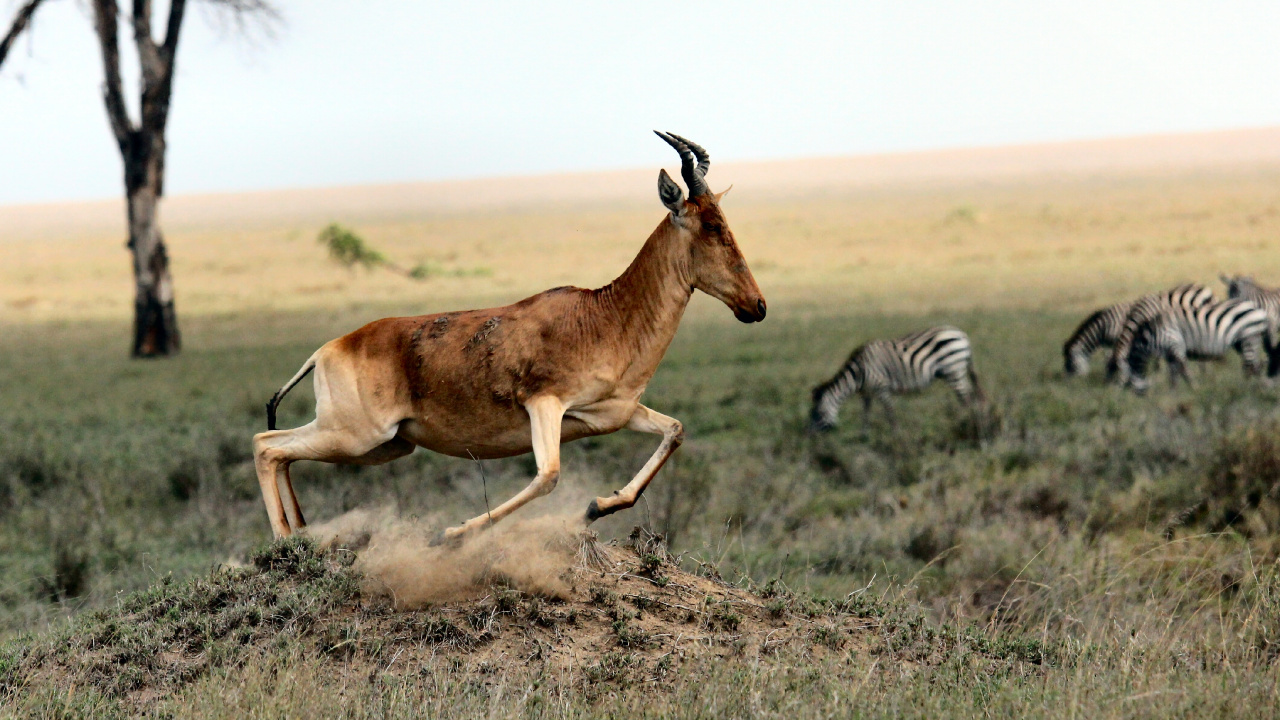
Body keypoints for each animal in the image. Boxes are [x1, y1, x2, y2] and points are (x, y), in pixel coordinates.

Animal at [252, 132, 767, 544]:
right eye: (711, 226)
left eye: (725, 221)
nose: (756, 306)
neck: (603, 314)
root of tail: (328, 349)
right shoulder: (544, 404)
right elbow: (548, 476)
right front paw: (452, 532)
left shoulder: (613, 414)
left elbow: (675, 431)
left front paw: (596, 506)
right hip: (357, 435)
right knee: (266, 443)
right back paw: (285, 543)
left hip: (387, 445)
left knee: (281, 451)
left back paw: (301, 533)